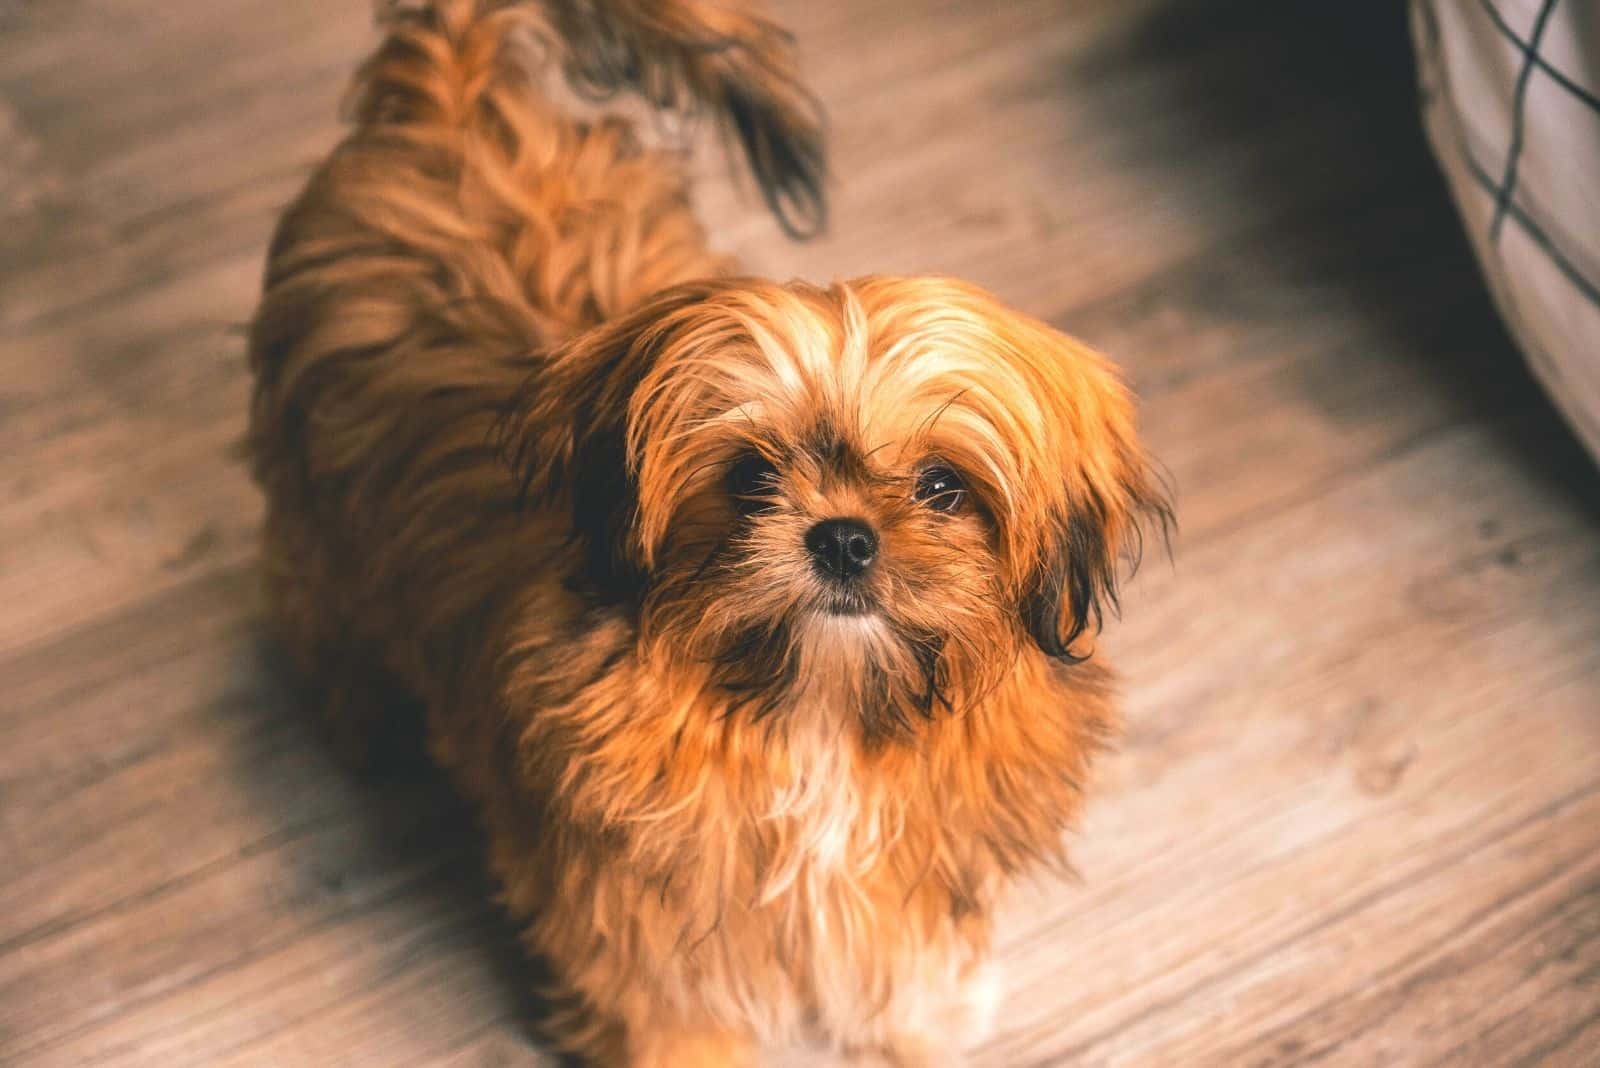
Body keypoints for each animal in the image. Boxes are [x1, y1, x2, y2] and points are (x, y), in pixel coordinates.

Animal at [249, 4, 1177, 1061]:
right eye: (749, 477)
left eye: (943, 487)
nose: (844, 538)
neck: (817, 722)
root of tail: (448, 102)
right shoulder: (640, 926)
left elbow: (904, 956)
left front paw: (922, 1020)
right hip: (316, 518)